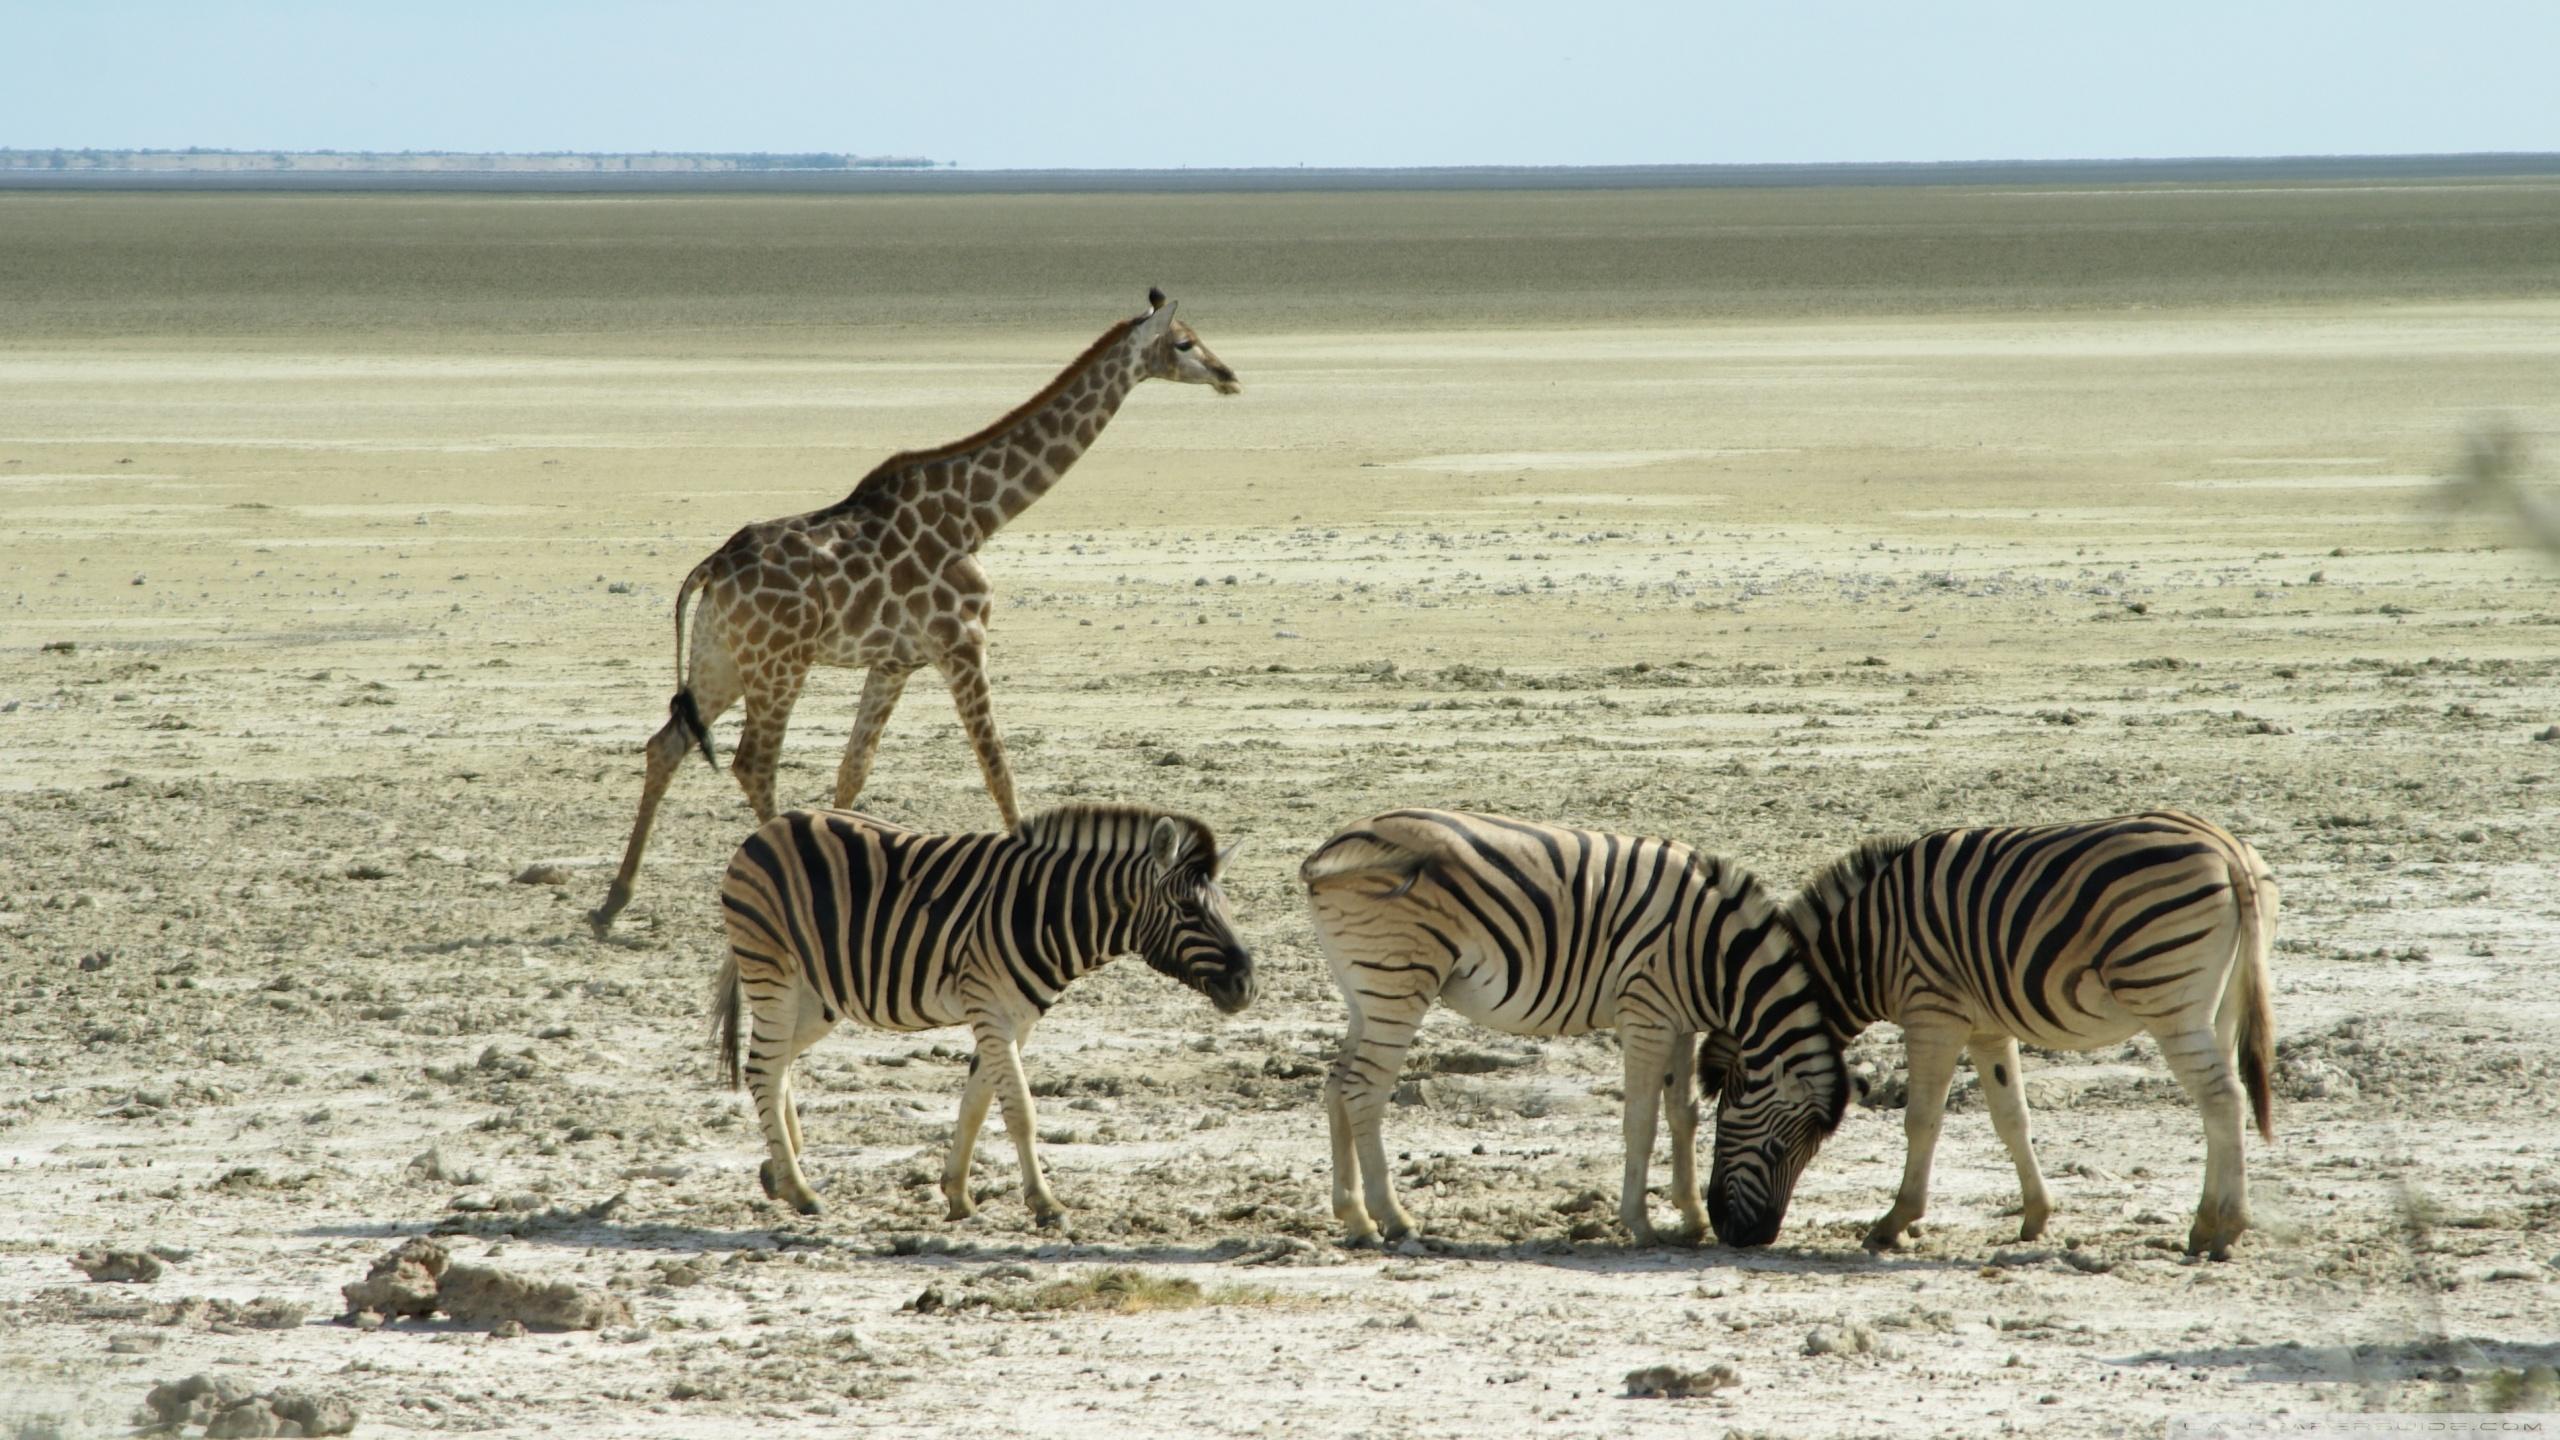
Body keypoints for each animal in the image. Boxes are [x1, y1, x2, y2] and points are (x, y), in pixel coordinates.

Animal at [712, 802, 1254, 1224]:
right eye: (1188, 910)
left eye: (1228, 908)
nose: (1247, 986)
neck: (1049, 912)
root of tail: (770, 826)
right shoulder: (990, 1009)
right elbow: (1020, 1112)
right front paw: (1045, 1204)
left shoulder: (1016, 1019)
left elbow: (977, 1103)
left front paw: (957, 1195)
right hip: (773, 969)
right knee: (763, 1070)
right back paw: (800, 1189)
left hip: (819, 994)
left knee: (779, 1063)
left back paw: (780, 1170)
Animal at [1300, 808, 1848, 1248]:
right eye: (1779, 1149)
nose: (1755, 1238)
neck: (1715, 954)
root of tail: (1331, 846)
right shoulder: (1646, 1015)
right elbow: (1642, 1121)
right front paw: (1641, 1224)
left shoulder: (1678, 1024)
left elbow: (1684, 1114)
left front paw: (1690, 1218)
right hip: (1399, 981)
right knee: (1363, 1092)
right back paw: (1393, 1220)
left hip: (1364, 992)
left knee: (1336, 1086)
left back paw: (1354, 1217)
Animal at [1734, 809, 2278, 1260]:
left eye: (1732, 1115)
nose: (1741, 1235)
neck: (1869, 944)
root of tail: (2228, 849)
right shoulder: (1988, 1030)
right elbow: (2012, 1118)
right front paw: (2036, 1216)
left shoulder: (1932, 1013)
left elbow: (1921, 1120)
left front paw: (1895, 1222)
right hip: (2219, 1003)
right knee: (2218, 1104)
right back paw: (2205, 1226)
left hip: (2168, 998)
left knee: (2224, 1098)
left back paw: (2227, 1227)